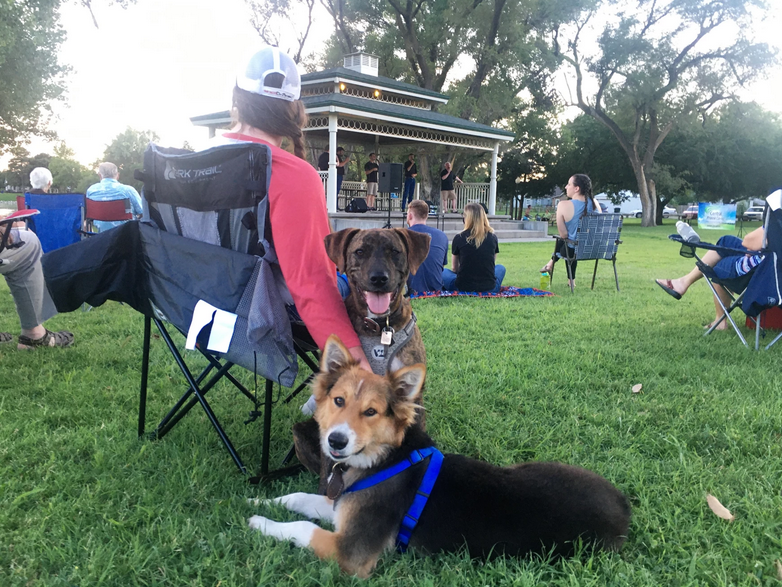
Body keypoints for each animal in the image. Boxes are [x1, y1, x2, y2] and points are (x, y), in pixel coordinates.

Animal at [292, 227, 432, 494]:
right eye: (359, 252)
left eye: (395, 252)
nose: (379, 278)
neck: (379, 329)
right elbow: (328, 468)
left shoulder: (415, 400)